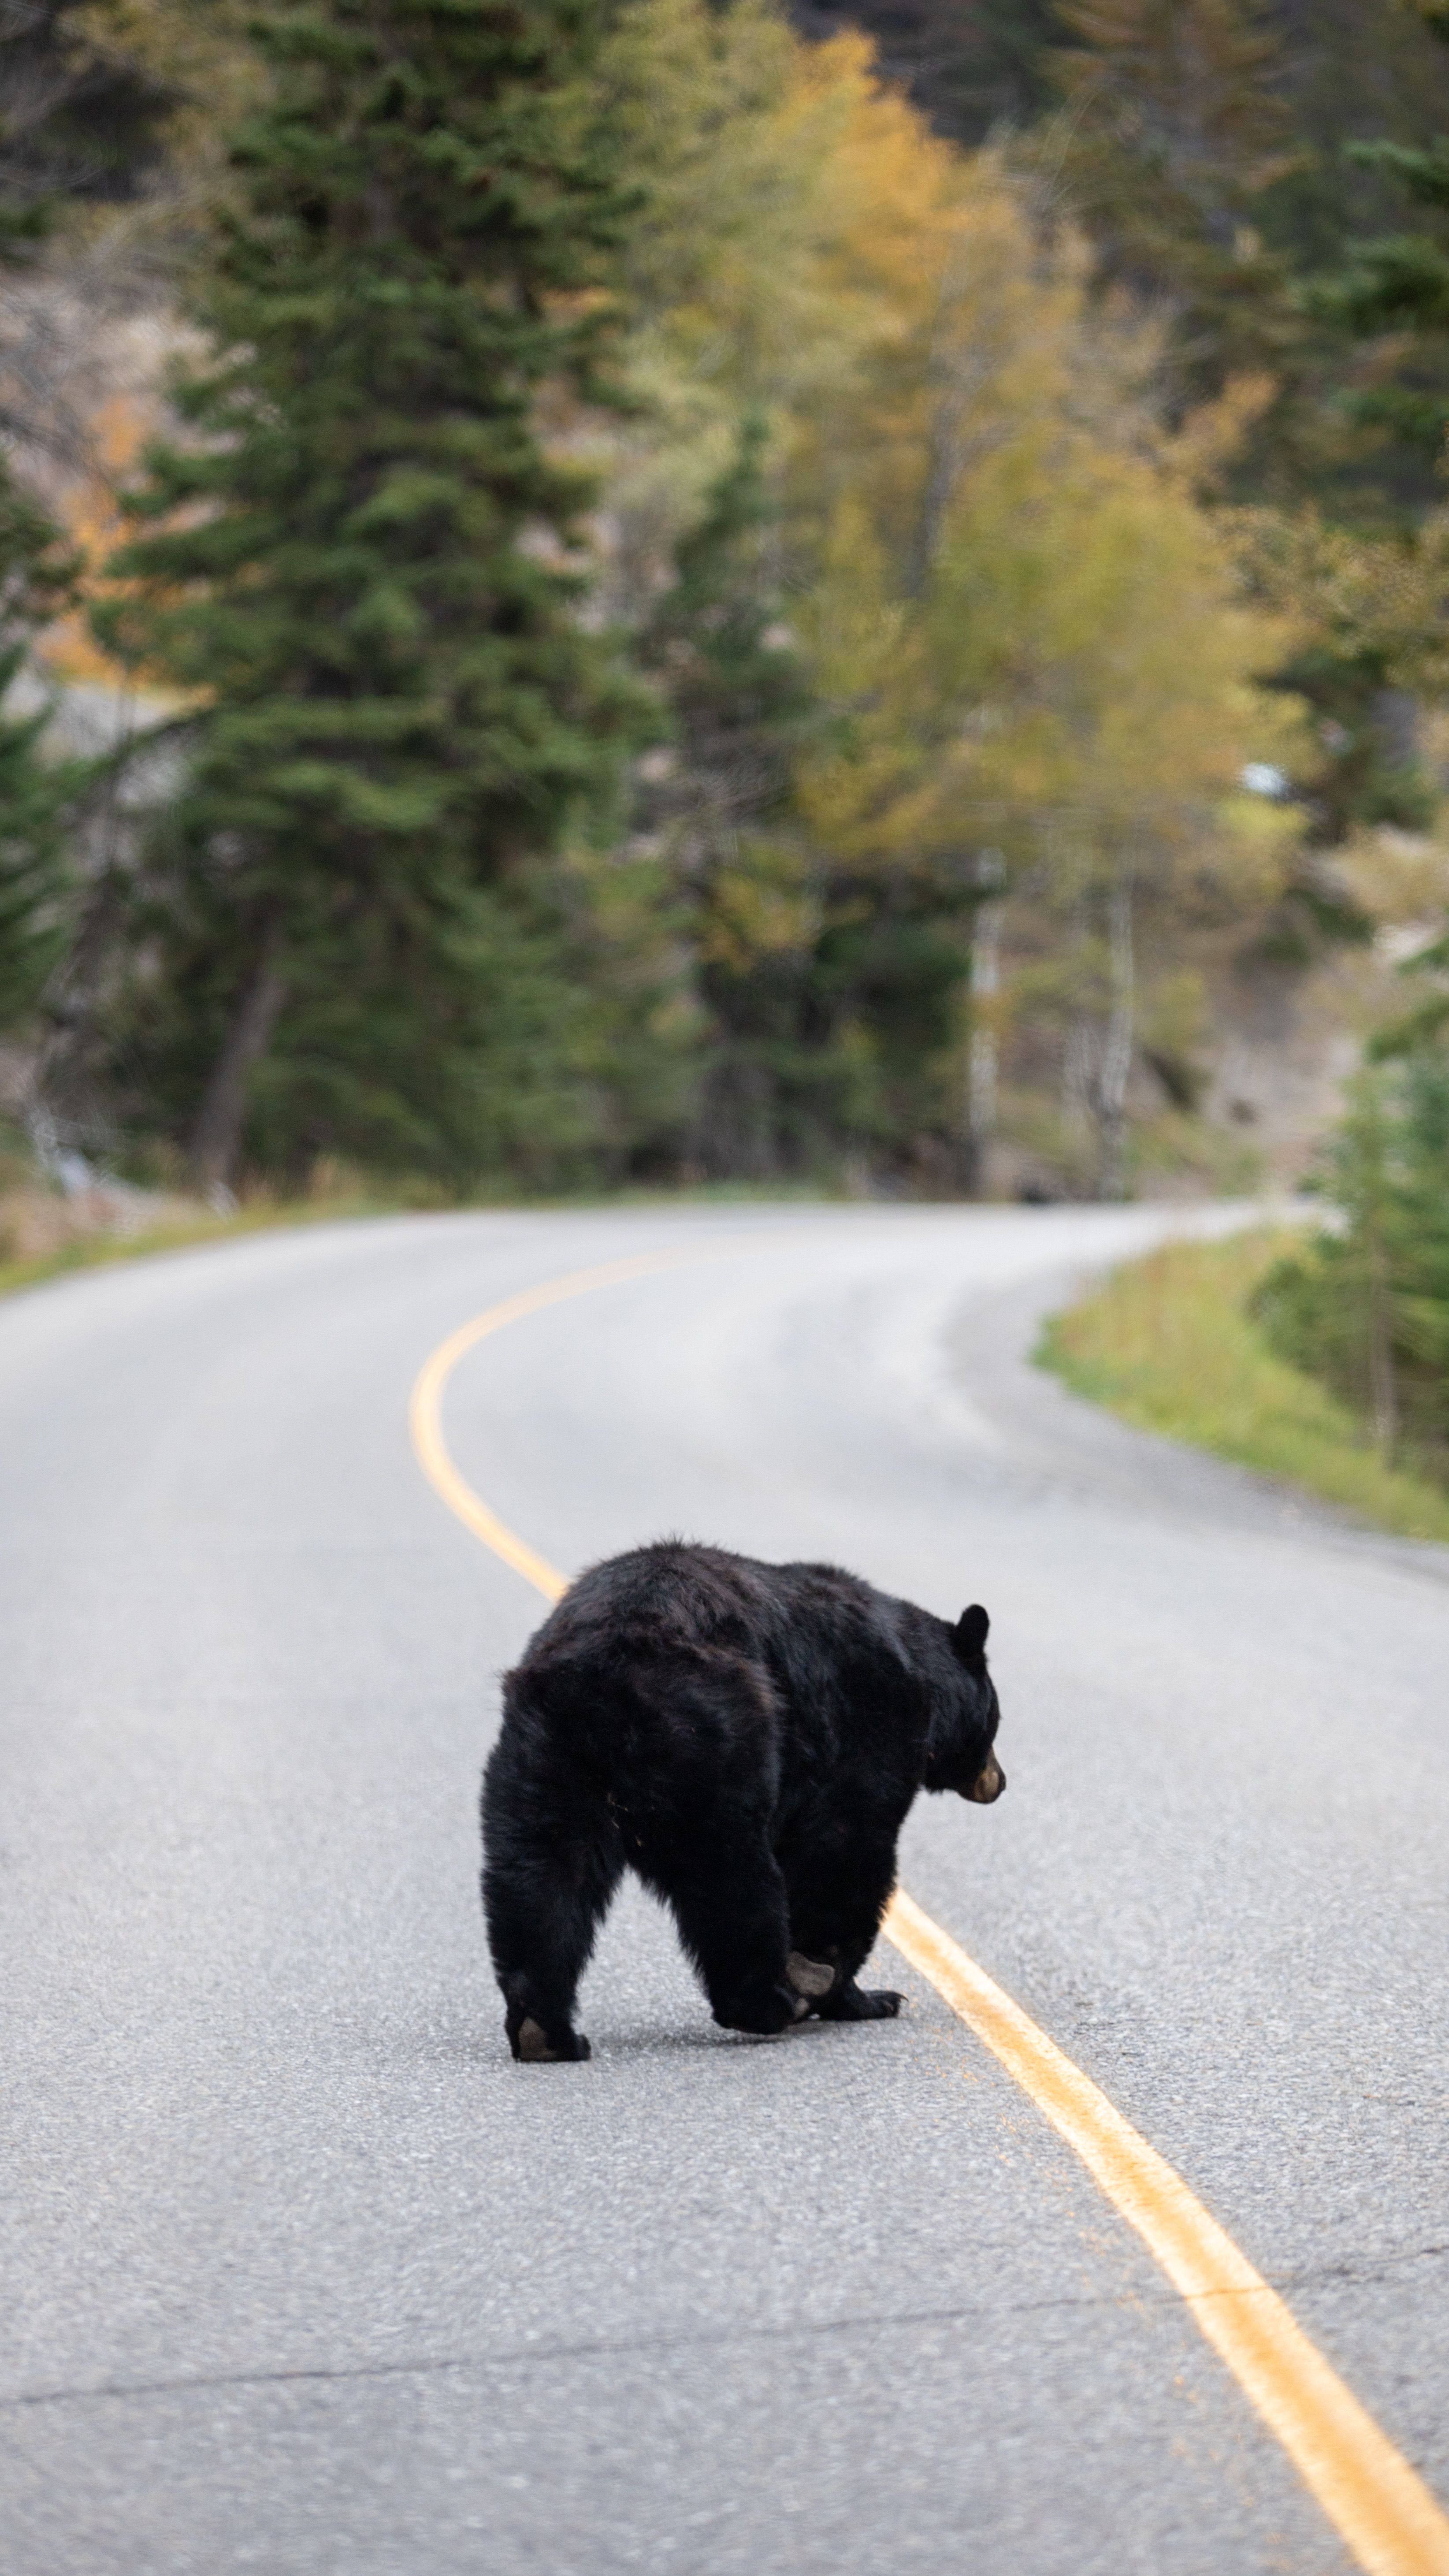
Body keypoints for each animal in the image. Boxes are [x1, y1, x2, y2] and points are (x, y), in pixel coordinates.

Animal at [480, 1538, 1004, 2062]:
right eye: (997, 1719)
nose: (999, 1781)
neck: (920, 1673)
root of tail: (607, 1676)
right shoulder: (869, 1725)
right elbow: (846, 1845)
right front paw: (856, 1992)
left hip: (545, 1759)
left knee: (542, 1875)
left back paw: (545, 2030)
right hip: (717, 1739)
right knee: (731, 1875)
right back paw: (768, 2003)